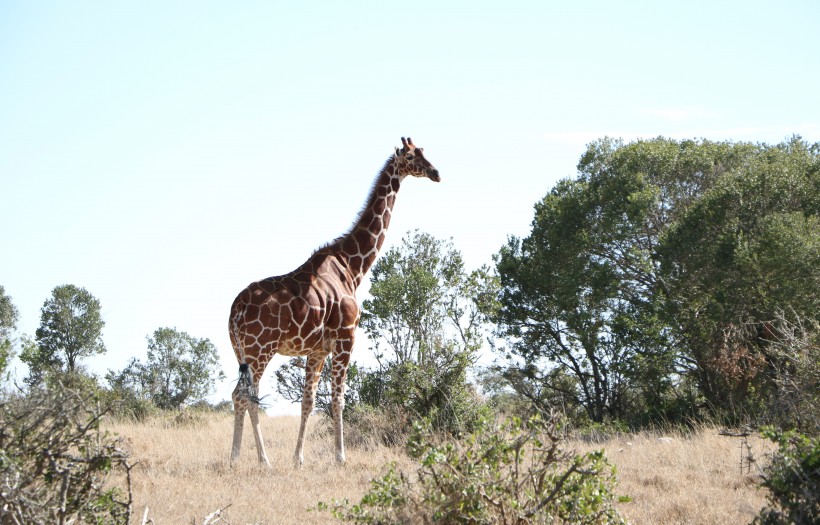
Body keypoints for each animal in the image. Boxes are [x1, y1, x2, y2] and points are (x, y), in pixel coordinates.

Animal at [224, 137, 442, 464]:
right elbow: (338, 399)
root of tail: (233, 312)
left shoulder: (317, 350)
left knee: (243, 396)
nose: (436, 172)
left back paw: (242, 458)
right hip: (259, 350)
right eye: (412, 156)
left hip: (243, 353)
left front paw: (298, 459)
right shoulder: (345, 337)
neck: (352, 266)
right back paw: (258, 460)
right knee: (244, 396)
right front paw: (340, 456)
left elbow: (308, 401)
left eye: (424, 151)